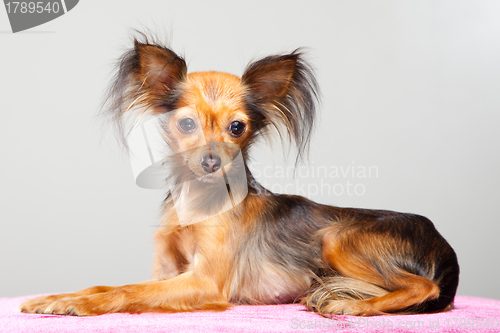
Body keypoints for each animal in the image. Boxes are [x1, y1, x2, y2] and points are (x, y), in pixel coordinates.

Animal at [19, 35, 458, 316]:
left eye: (237, 128)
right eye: (187, 124)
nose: (212, 162)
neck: (198, 198)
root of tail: (444, 245)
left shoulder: (203, 282)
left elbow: (129, 291)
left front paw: (76, 303)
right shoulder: (167, 271)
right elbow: (111, 285)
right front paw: (59, 296)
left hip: (337, 237)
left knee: (425, 286)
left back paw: (352, 304)